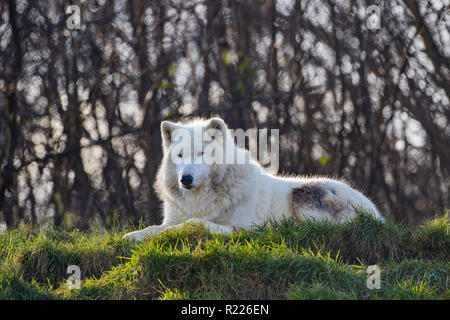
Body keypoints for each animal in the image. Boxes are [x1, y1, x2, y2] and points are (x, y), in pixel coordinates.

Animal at [123, 119, 384, 241]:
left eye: (202, 153)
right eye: (180, 155)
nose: (185, 179)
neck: (201, 200)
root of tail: (379, 215)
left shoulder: (241, 228)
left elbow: (193, 223)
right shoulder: (172, 217)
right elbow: (156, 228)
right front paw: (133, 236)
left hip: (303, 194)